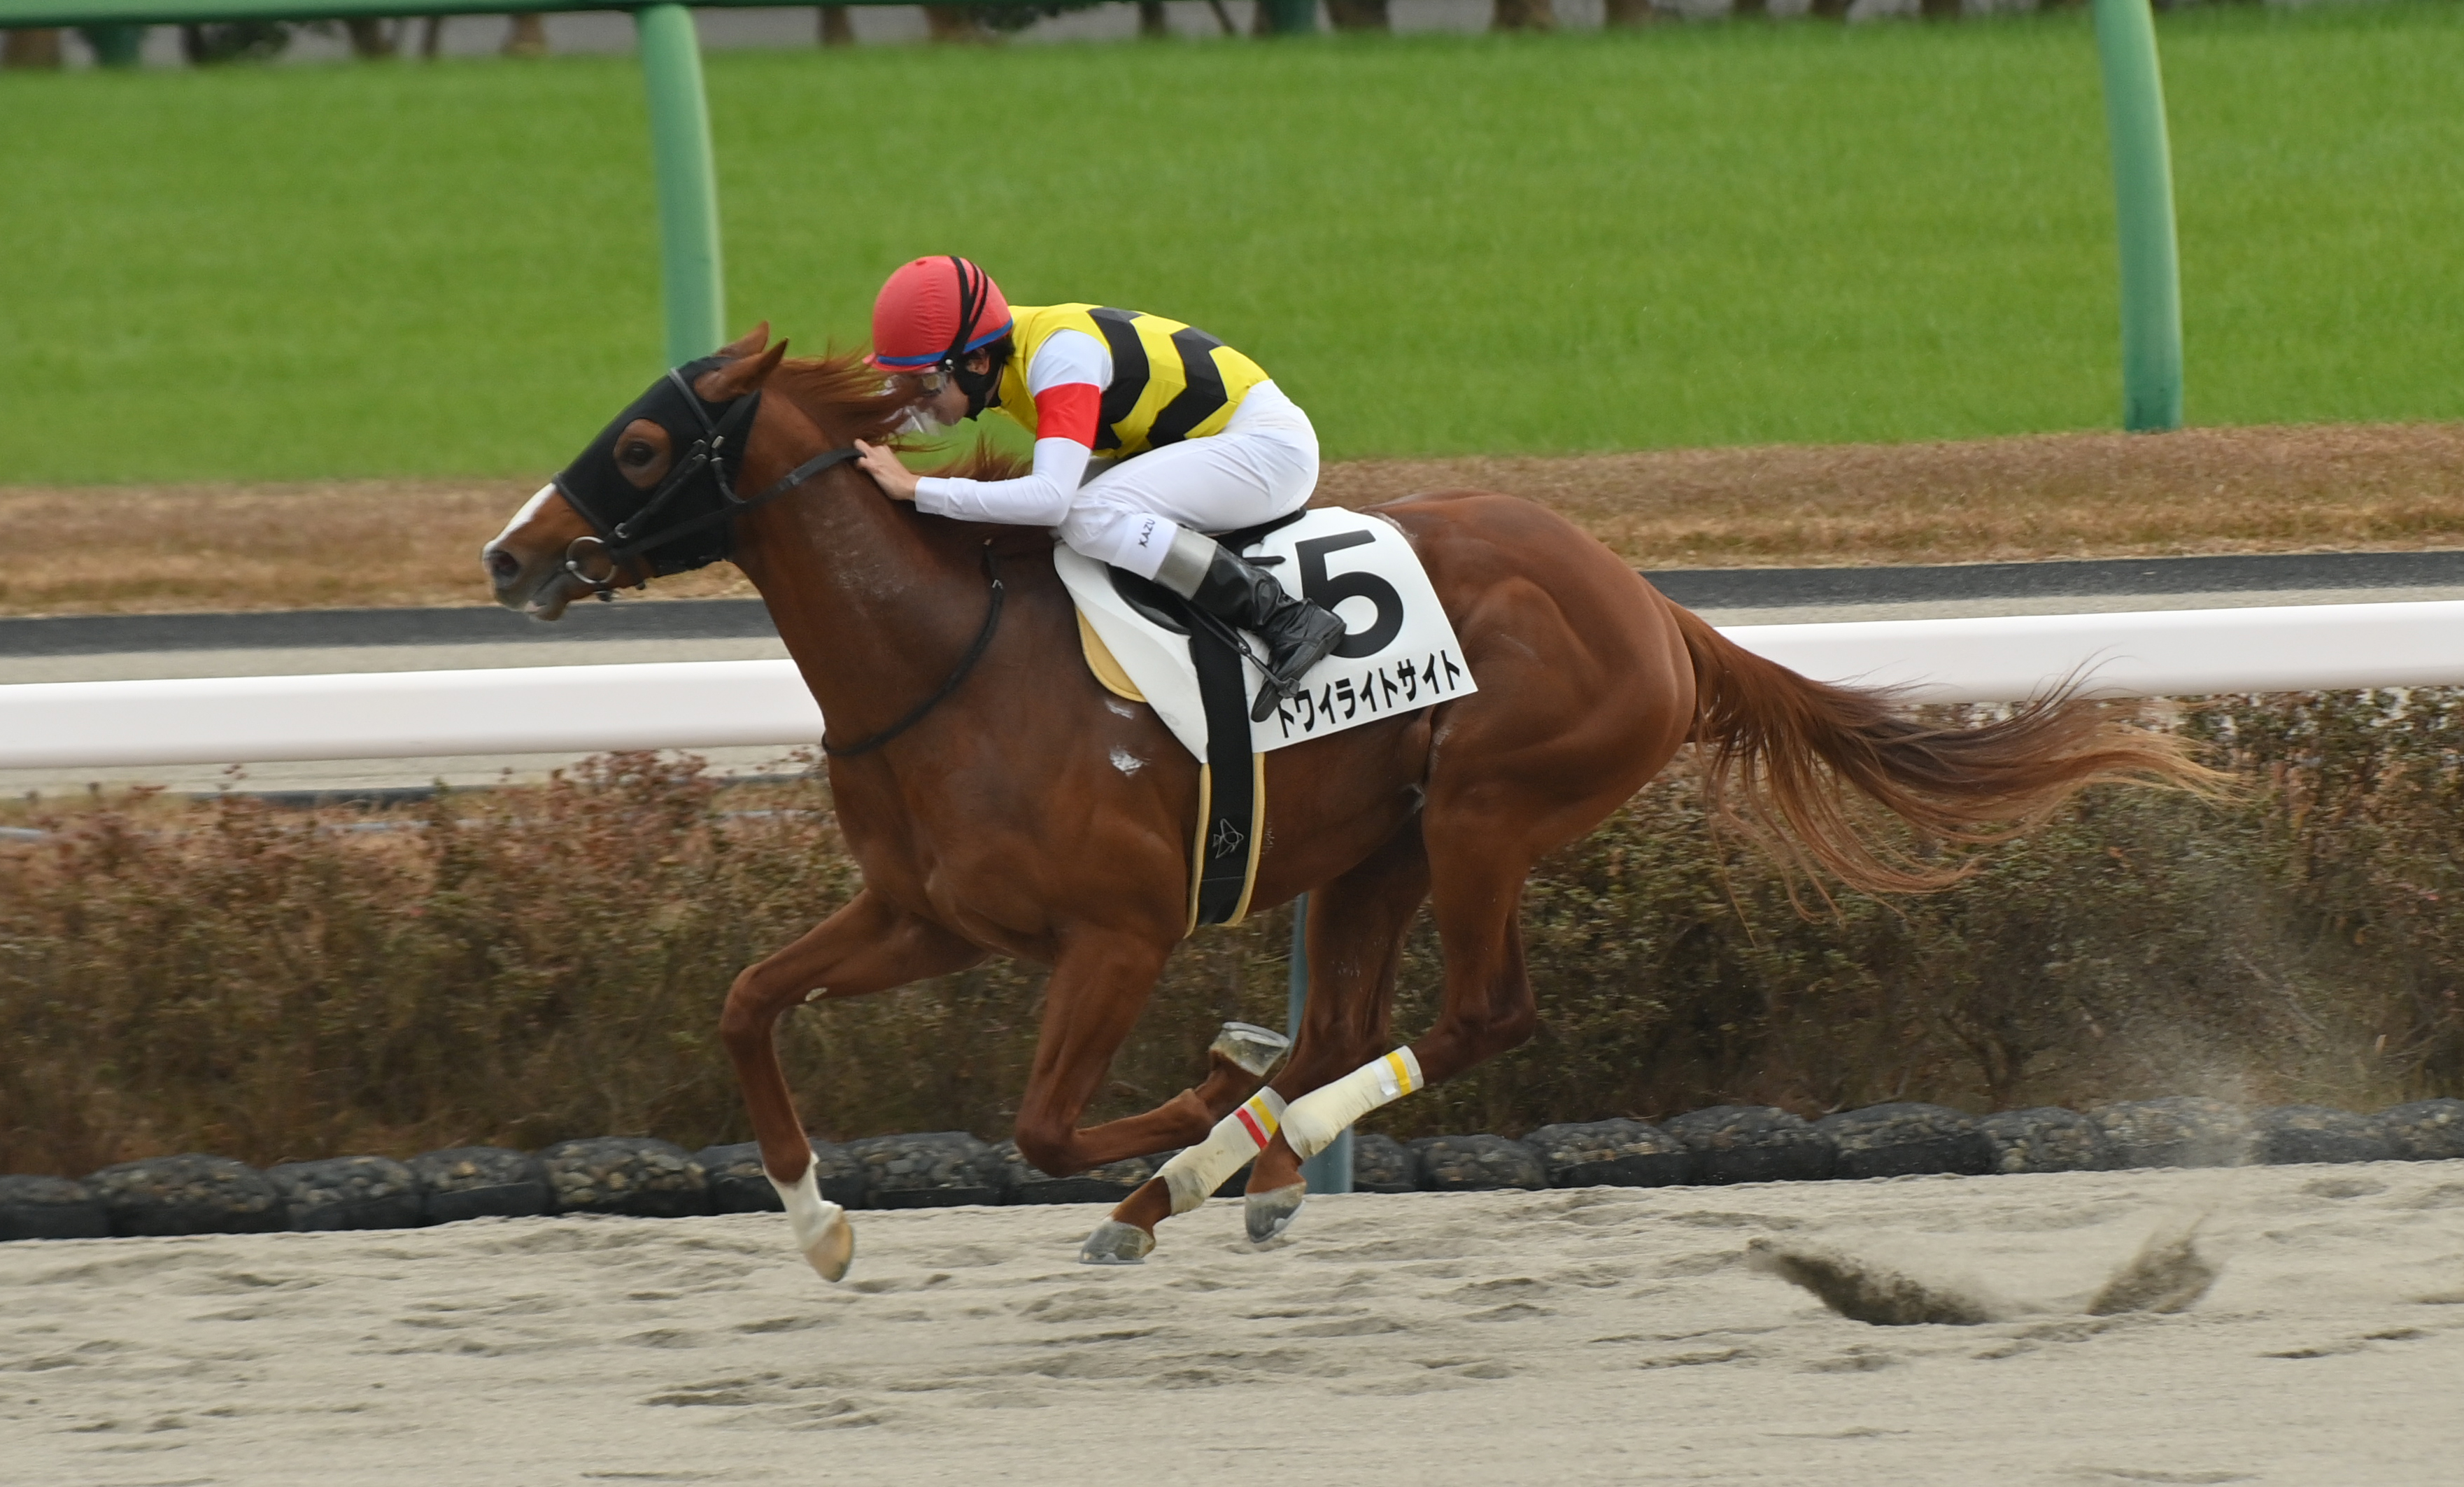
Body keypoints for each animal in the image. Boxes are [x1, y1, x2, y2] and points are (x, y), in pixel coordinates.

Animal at [482, 326, 2215, 1278]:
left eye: (644, 443)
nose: (509, 554)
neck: (940, 660)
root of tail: (1655, 607)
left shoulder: (1118, 936)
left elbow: (1045, 1123)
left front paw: (1200, 1102)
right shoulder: (926, 915)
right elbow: (744, 1005)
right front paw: (821, 1226)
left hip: (1487, 814)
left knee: (1476, 1019)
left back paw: (1227, 1155)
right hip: (1376, 843)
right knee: (1349, 1028)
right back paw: (1229, 1168)